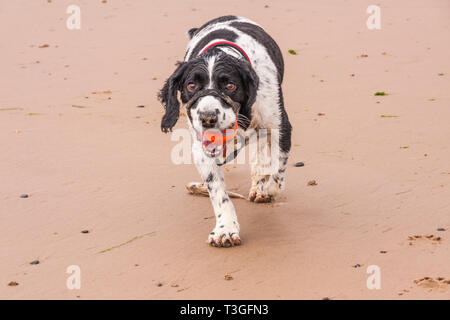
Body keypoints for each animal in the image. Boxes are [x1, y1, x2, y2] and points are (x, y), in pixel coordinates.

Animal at [158, 15, 292, 248]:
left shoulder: (280, 126)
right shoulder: (201, 148)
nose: (208, 117)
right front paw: (225, 229)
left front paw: (266, 189)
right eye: (191, 86)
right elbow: (219, 194)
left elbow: (277, 170)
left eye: (230, 85)